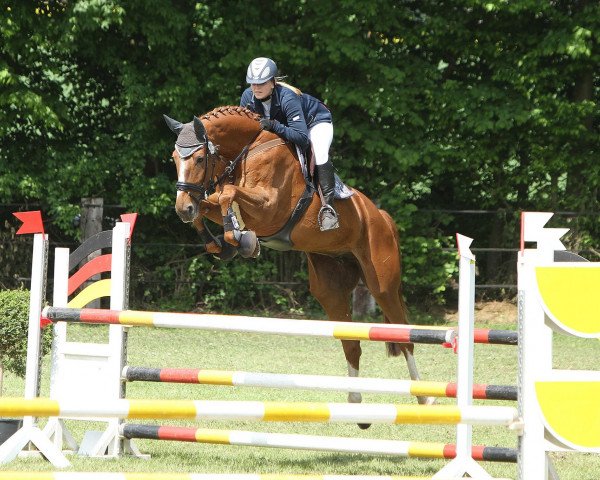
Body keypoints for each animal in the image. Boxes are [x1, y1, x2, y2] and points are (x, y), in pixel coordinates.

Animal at [164, 106, 434, 424]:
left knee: (405, 338)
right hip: (330, 288)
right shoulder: (221, 202)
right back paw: (355, 404)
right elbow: (213, 204)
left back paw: (425, 398)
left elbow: (228, 195)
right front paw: (222, 243)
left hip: (382, 285)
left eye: (199, 158)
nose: (182, 207)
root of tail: (381, 216)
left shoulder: (269, 209)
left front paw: (241, 240)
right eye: (174, 157)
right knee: (351, 343)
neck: (249, 148)